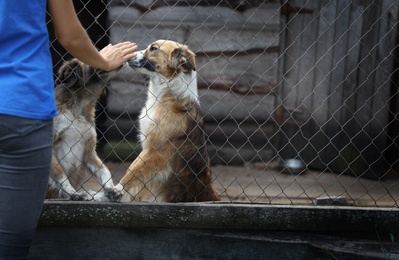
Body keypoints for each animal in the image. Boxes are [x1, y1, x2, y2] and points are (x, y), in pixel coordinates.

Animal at [47, 59, 122, 201]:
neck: (78, 107)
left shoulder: (88, 151)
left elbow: (105, 170)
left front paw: (111, 188)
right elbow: (61, 174)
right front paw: (73, 193)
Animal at [117, 39, 220, 202]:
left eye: (153, 48)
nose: (127, 56)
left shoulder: (157, 151)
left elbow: (131, 176)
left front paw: (111, 193)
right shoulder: (147, 147)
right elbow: (131, 169)